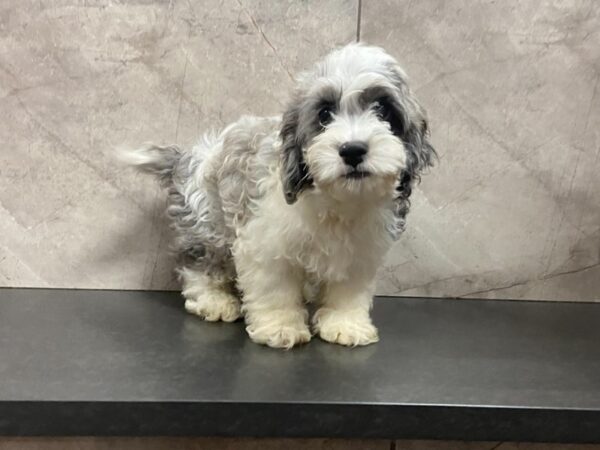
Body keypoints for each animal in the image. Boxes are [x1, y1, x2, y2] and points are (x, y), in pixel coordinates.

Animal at [124, 43, 436, 348]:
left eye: (383, 110)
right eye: (324, 114)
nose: (353, 150)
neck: (336, 202)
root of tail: (189, 157)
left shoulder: (359, 255)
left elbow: (347, 293)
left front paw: (345, 326)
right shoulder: (266, 245)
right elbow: (276, 291)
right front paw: (281, 328)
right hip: (208, 222)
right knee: (198, 263)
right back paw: (214, 300)